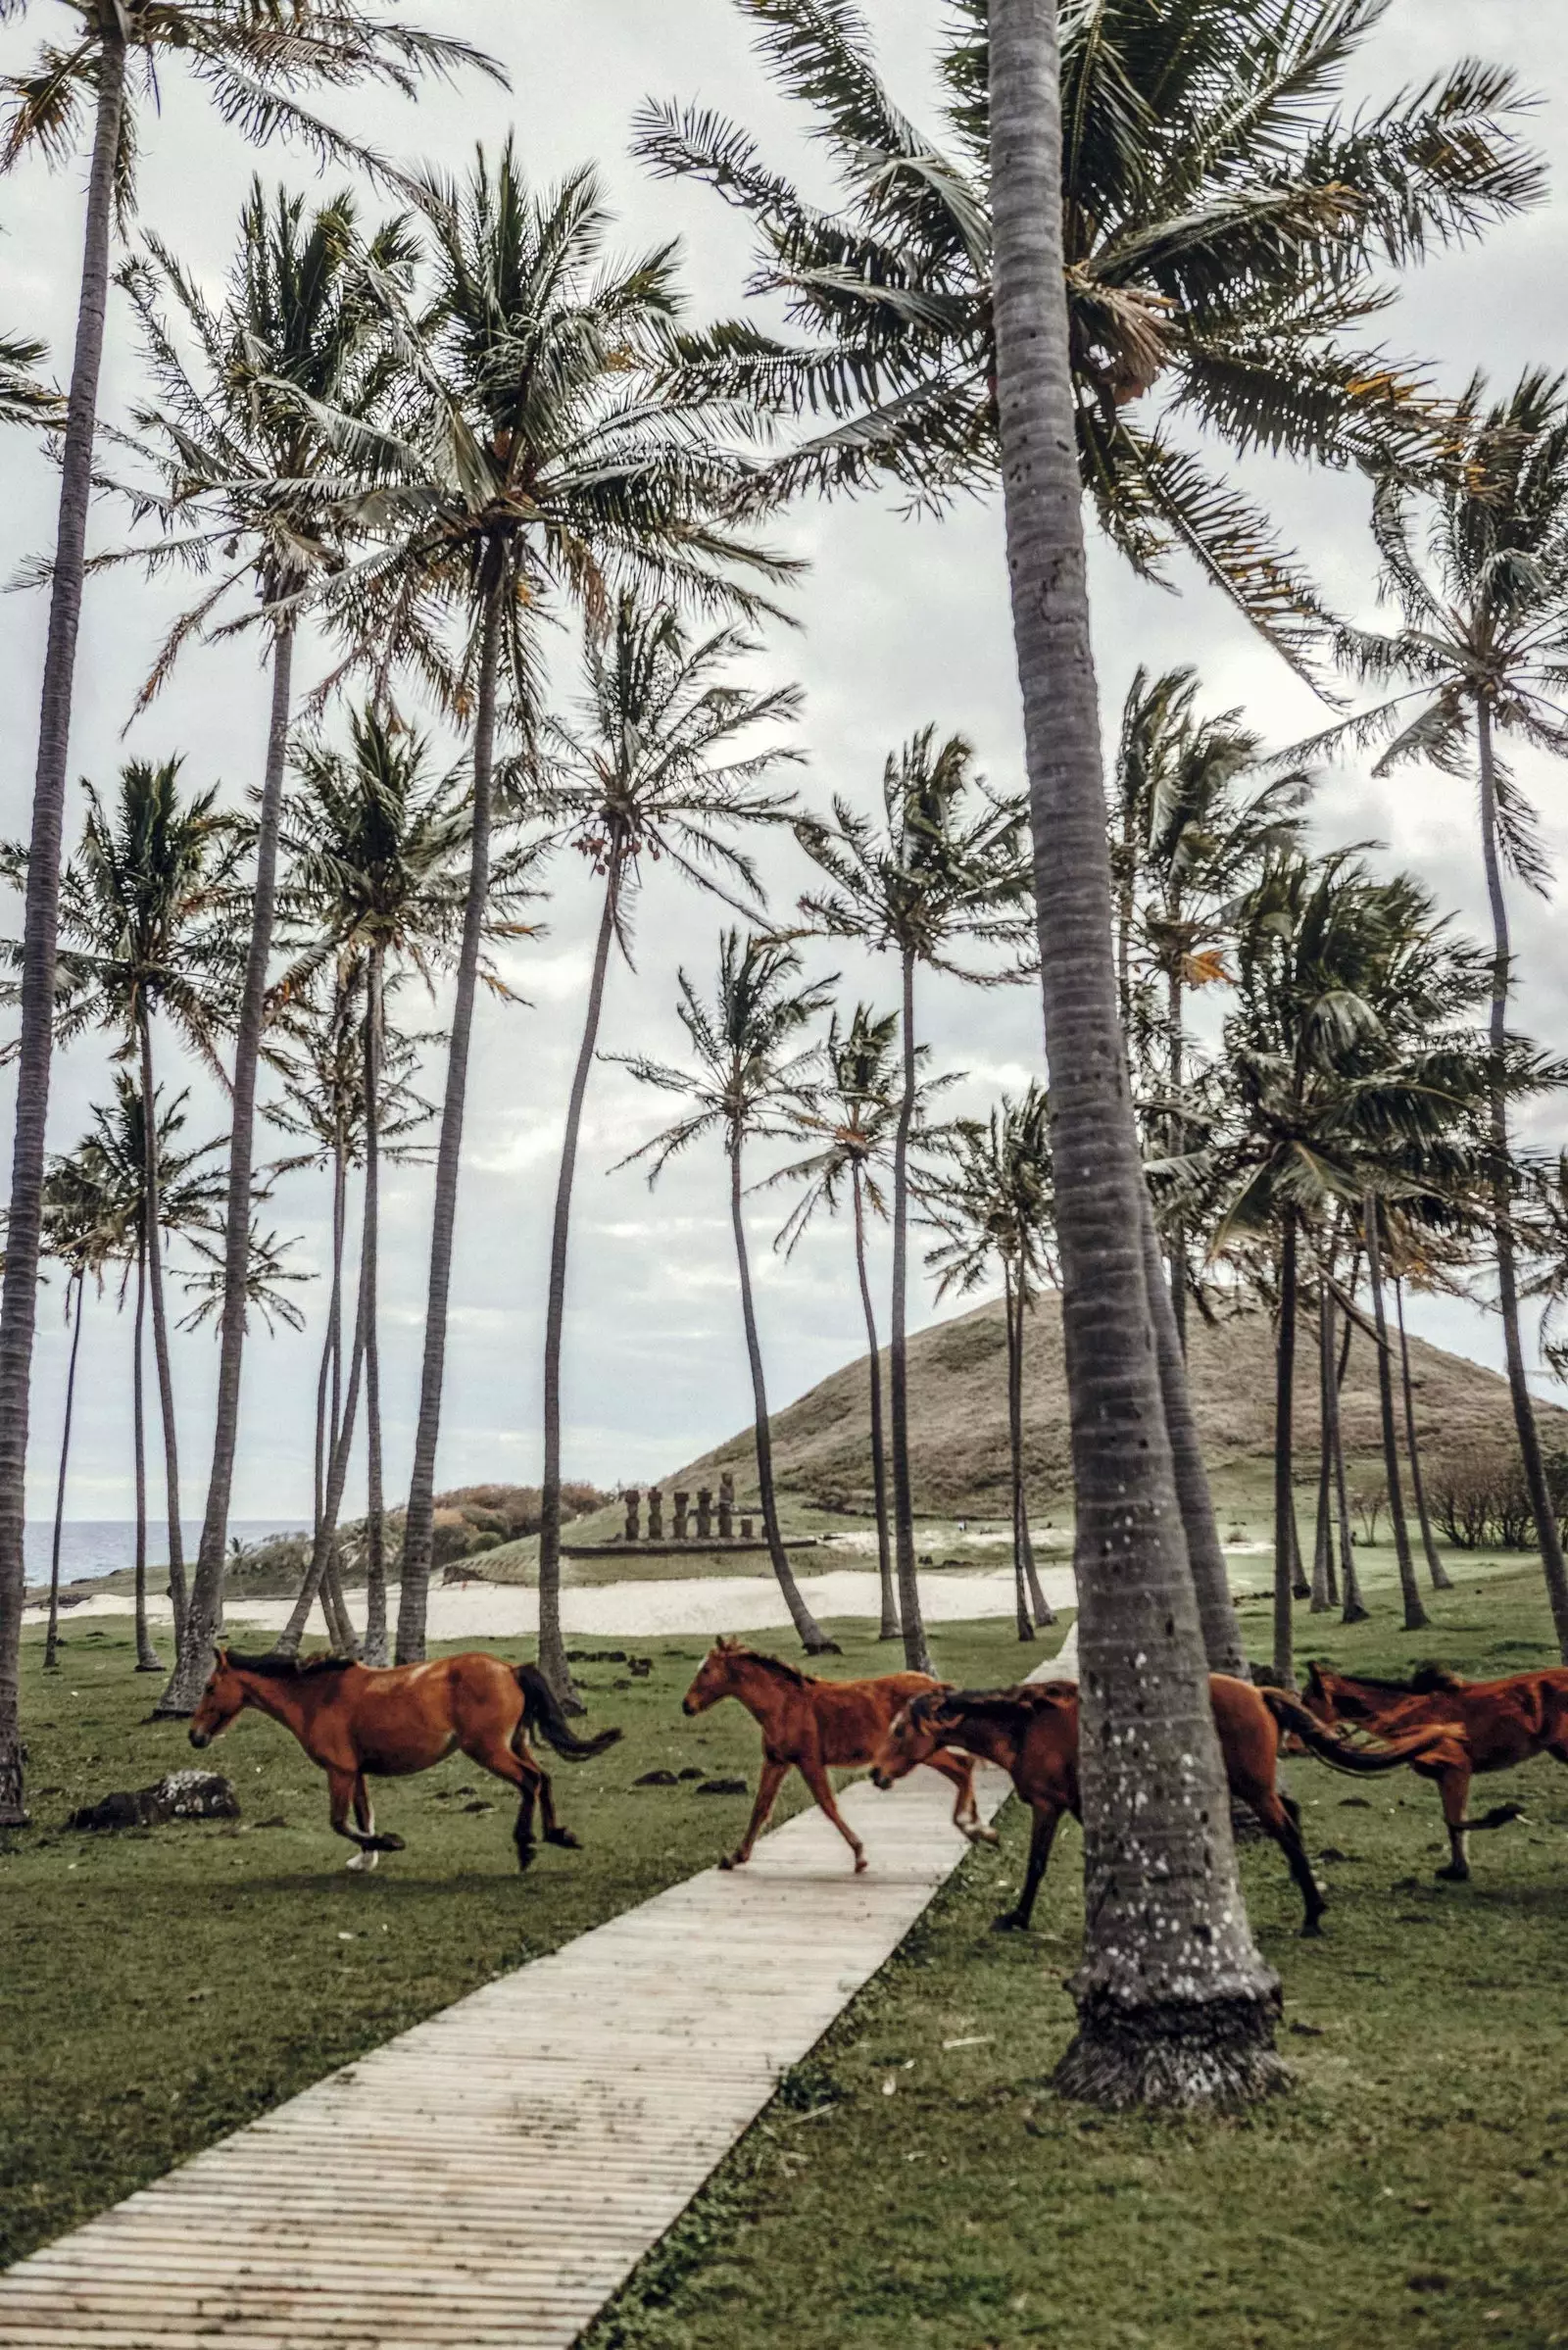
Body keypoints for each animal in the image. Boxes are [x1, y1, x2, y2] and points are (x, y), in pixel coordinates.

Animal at [190, 1654, 620, 1870]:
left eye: (209, 1687)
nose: (195, 1736)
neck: (317, 1696)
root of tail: (509, 1670)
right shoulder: (356, 1773)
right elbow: (362, 1817)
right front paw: (366, 1859)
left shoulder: (339, 1771)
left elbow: (339, 1822)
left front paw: (388, 1843)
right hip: (514, 1744)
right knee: (544, 1778)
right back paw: (558, 1834)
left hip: (489, 1750)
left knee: (530, 1781)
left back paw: (526, 1846)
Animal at [676, 1636, 992, 1870]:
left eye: (706, 1670)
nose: (686, 1706)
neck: (782, 1705)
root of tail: (935, 1685)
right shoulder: (777, 1761)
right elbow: (761, 1807)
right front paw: (736, 1857)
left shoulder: (809, 1761)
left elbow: (828, 1805)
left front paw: (860, 1855)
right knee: (963, 1767)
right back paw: (974, 1824)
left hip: (922, 1750)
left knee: (963, 1767)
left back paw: (972, 1826)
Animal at [864, 1673, 1457, 1927]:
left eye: (900, 1731)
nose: (875, 1774)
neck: (1028, 1724)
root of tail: (1259, 1692)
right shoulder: (1080, 1805)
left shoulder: (1049, 1806)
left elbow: (1035, 1865)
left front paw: (1016, 1917)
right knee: (1293, 1821)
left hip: (1252, 1787)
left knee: (1286, 1830)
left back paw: (1312, 1914)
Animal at [1298, 1663, 1568, 1880]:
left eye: (1307, 1701)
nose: (1297, 1737)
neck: (1410, 1711)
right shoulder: (1443, 1776)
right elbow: (1451, 1822)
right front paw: (1456, 1868)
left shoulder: (1457, 1770)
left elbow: (1456, 1821)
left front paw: (1502, 1815)